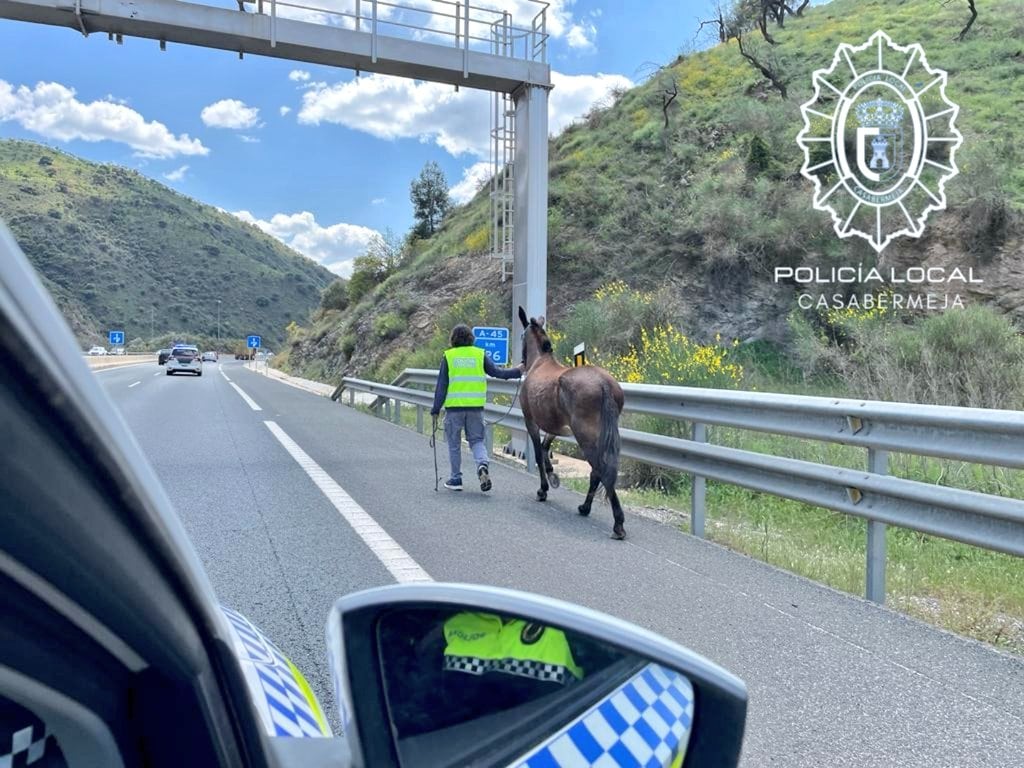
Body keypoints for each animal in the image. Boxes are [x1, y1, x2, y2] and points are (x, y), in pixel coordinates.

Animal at [516, 307, 626, 540]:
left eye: (521, 336)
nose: (520, 362)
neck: (540, 361)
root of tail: (603, 384)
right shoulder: (557, 426)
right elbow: (546, 447)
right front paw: (552, 475)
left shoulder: (531, 421)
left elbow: (538, 453)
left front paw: (543, 489)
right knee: (597, 472)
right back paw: (585, 507)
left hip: (585, 436)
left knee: (600, 469)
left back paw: (618, 523)